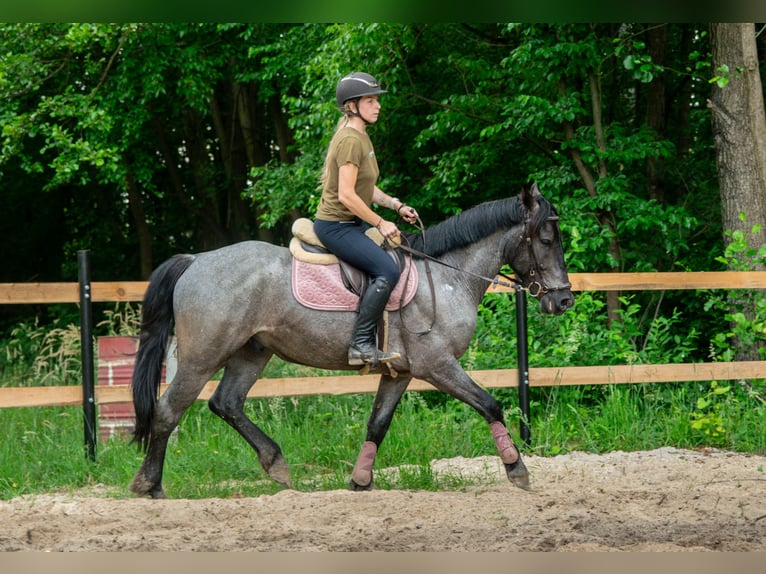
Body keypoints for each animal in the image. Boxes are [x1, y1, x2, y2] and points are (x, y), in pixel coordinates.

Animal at [132, 184, 572, 500]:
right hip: (203, 355)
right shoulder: (437, 365)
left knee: (226, 403)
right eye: (546, 240)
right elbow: (489, 403)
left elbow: (377, 423)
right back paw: (151, 486)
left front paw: (361, 480)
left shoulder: (400, 372)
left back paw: (275, 464)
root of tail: (196, 260)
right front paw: (516, 468)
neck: (449, 275)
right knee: (169, 410)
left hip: (252, 352)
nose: (564, 299)